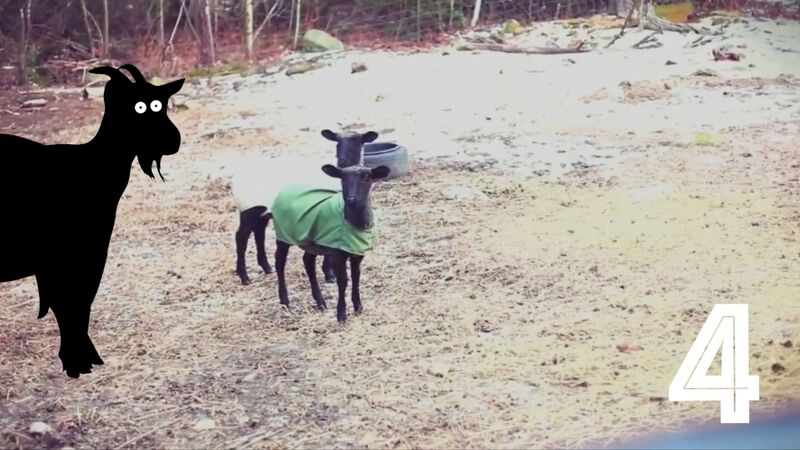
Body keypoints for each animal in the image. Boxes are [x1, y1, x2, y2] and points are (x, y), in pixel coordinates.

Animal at [0, 64, 185, 378]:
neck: (93, 166)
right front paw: (78, 362)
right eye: (139, 106)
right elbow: (71, 303)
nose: (174, 141)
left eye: (161, 104)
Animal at [232, 129, 378, 286]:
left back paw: (266, 267)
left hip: (262, 211)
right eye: (337, 144)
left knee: (259, 233)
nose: (343, 161)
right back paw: (244, 276)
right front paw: (329, 275)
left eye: (358, 142)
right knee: (241, 237)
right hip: (249, 208)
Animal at [271, 163, 391, 322]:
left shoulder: (357, 254)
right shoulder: (337, 255)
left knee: (307, 261)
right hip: (283, 235)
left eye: (366, 177)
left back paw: (320, 302)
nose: (351, 199)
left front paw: (358, 307)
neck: (353, 222)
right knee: (279, 263)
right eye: (342, 179)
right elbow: (343, 281)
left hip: (311, 240)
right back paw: (285, 301)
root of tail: (286, 189)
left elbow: (356, 277)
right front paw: (341, 314)